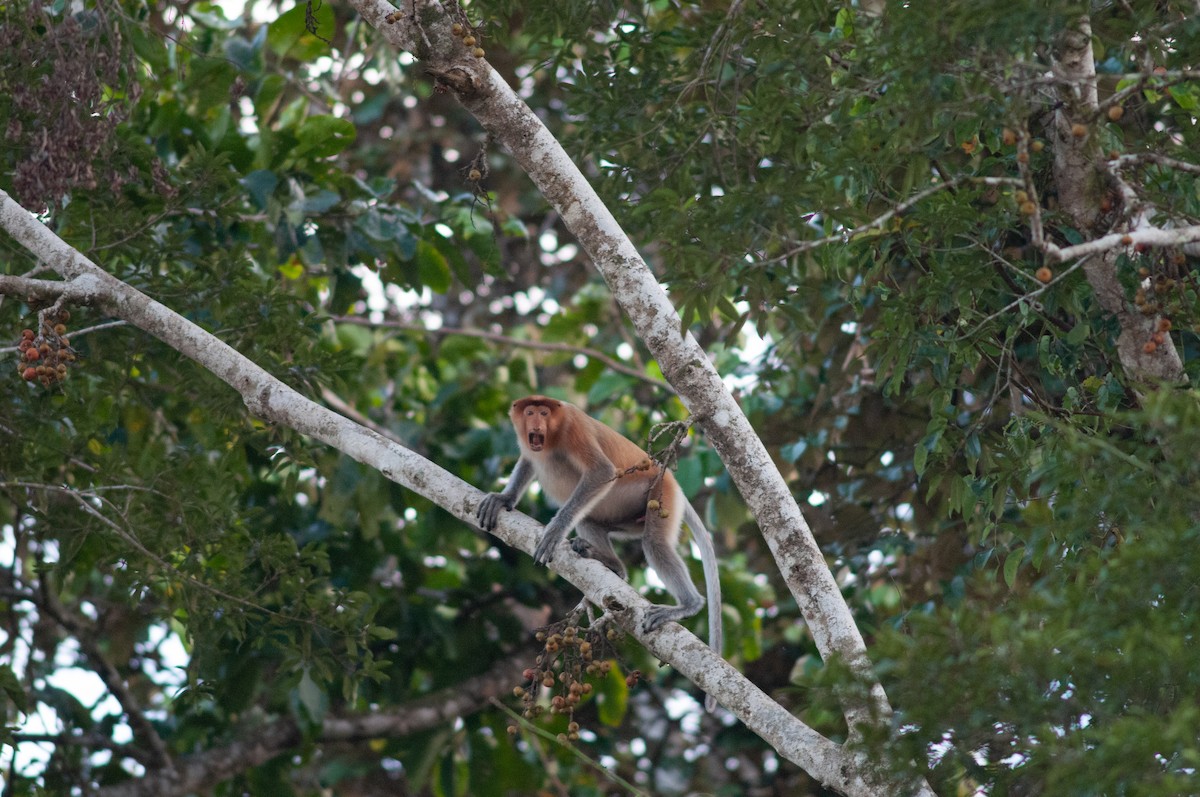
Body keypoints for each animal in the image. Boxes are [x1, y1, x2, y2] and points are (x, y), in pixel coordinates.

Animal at [476, 395, 722, 710]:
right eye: (529, 412)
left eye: (544, 412)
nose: (536, 422)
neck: (553, 435)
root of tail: (670, 479)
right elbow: (529, 462)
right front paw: (503, 498)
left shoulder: (574, 429)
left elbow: (601, 472)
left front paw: (554, 532)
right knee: (590, 519)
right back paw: (610, 564)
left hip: (658, 493)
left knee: (653, 542)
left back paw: (687, 604)